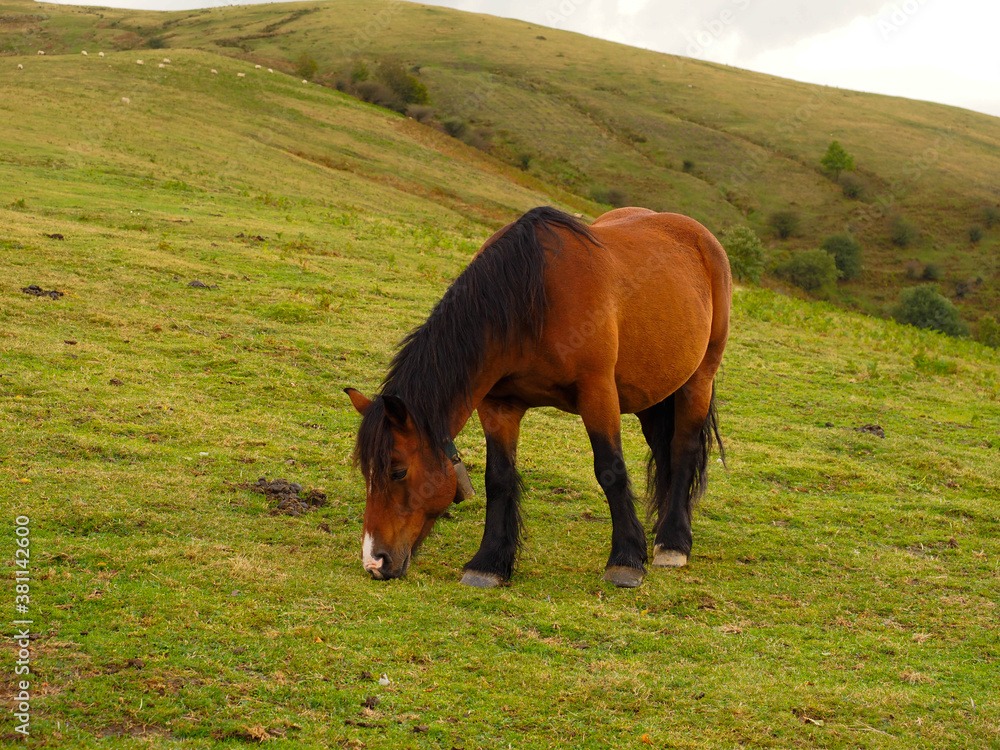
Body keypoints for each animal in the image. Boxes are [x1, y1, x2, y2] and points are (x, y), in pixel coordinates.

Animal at [346, 206, 731, 588]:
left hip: (699, 380)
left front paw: (625, 560)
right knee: (664, 453)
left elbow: (611, 469)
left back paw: (672, 542)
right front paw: (489, 563)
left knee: (682, 451)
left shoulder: (598, 393)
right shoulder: (498, 405)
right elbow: (499, 478)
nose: (375, 561)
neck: (530, 304)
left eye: (397, 471)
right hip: (652, 395)